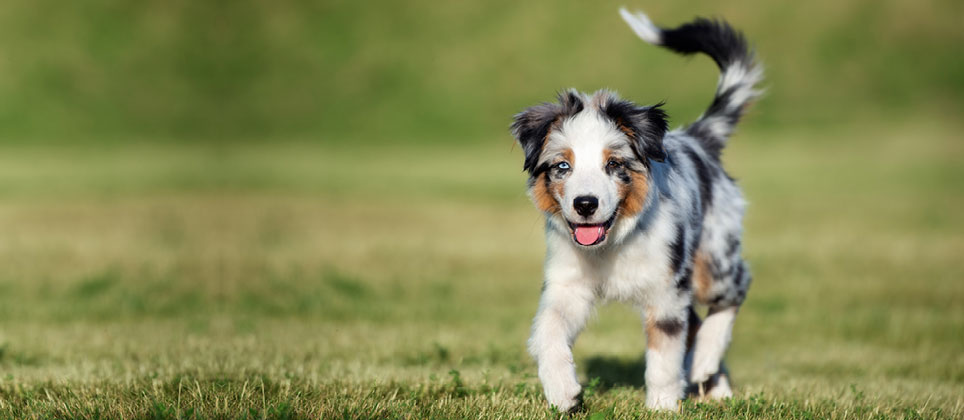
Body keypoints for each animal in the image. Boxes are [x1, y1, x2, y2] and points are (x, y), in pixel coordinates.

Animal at [508, 8, 764, 412]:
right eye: (562, 166)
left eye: (614, 164)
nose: (585, 204)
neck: (612, 245)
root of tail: (698, 137)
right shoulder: (567, 284)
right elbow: (547, 331)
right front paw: (563, 391)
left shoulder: (665, 291)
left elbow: (664, 356)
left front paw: (662, 406)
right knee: (697, 320)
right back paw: (714, 384)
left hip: (712, 260)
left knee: (736, 288)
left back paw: (704, 361)